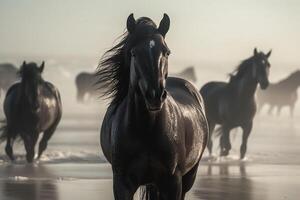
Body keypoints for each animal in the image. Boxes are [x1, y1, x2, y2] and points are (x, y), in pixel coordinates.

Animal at [97, 13, 207, 199]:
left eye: (167, 52)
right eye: (134, 53)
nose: (154, 95)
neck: (146, 130)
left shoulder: (173, 183)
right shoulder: (121, 183)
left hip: (188, 176)